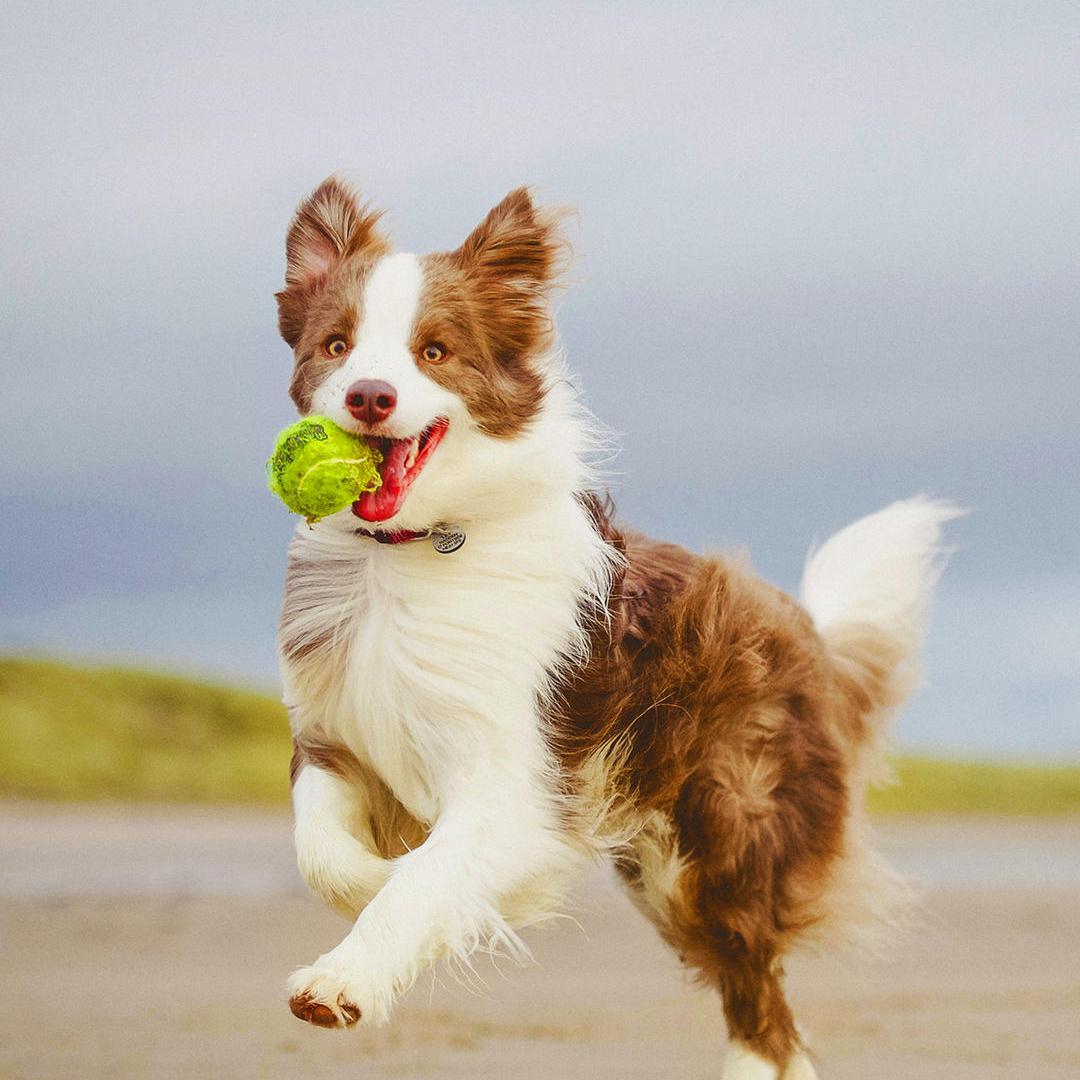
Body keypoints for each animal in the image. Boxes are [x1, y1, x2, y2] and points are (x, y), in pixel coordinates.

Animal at [274, 181, 959, 1075]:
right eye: (337, 344)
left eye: (434, 351)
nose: (369, 396)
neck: (414, 551)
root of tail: (804, 626)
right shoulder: (333, 736)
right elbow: (327, 855)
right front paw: (376, 882)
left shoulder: (515, 781)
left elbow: (424, 881)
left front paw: (342, 982)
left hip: (711, 849)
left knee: (763, 1000)